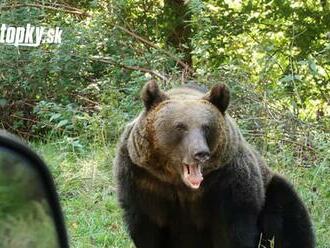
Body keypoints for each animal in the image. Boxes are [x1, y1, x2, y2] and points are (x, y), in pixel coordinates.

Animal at [113, 81, 314, 248]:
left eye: (206, 126)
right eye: (180, 126)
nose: (201, 153)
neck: (179, 183)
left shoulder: (226, 183)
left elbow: (234, 231)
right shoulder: (143, 182)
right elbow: (147, 229)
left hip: (270, 190)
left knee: (288, 215)